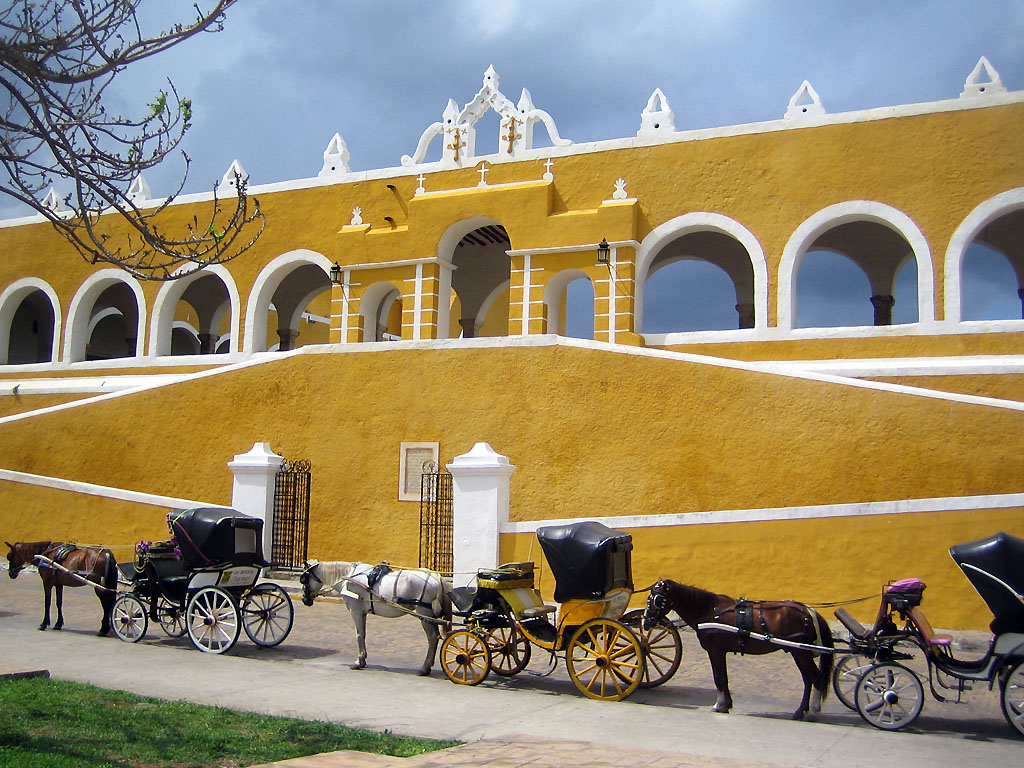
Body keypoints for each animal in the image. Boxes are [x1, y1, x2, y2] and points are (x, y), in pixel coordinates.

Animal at [299, 561, 452, 675]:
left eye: (304, 580)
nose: (305, 599)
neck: (348, 576)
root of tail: (437, 577)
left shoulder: (355, 611)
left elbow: (359, 635)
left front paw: (358, 661)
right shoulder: (363, 612)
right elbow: (364, 634)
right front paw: (363, 660)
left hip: (424, 613)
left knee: (432, 638)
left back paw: (424, 668)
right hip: (429, 616)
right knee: (436, 637)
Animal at [643, 581, 835, 720]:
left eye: (657, 599)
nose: (645, 622)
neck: (711, 612)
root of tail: (808, 611)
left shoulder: (716, 650)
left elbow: (719, 678)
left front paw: (720, 705)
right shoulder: (718, 651)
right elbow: (723, 678)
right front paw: (726, 704)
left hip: (800, 652)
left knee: (815, 678)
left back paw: (813, 711)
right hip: (798, 651)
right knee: (808, 680)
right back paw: (800, 711)